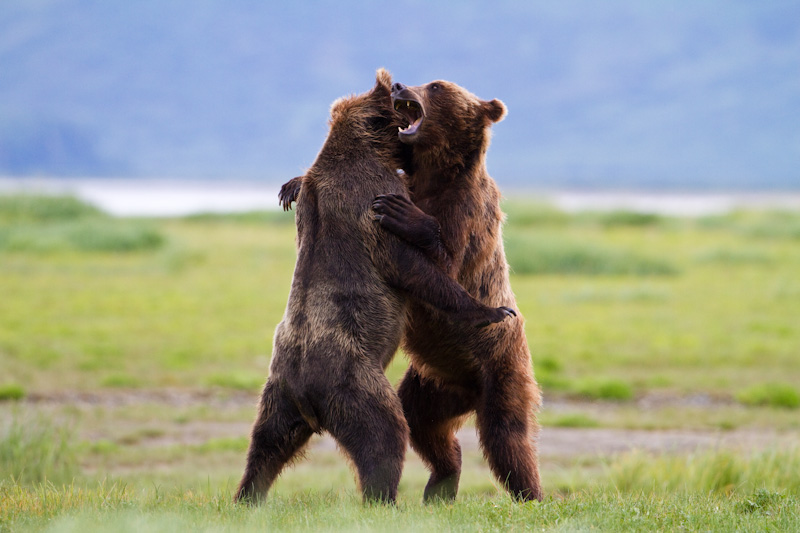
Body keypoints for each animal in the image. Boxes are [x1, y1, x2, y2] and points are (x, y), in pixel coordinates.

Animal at [234, 69, 516, 502]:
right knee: (384, 435)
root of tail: (306, 394)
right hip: (356, 383)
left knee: (264, 449)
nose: (399, 83)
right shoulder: (371, 202)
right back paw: (383, 498)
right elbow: (416, 269)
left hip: (276, 398)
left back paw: (248, 496)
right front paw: (492, 311)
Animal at [368, 77, 544, 500]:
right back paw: (441, 481)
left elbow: (443, 264)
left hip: (501, 368)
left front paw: (402, 214)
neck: (437, 175)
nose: (399, 85)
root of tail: (469, 390)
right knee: (421, 423)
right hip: (434, 382)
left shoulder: (465, 210)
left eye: (436, 86)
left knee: (508, 438)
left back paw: (532, 494)